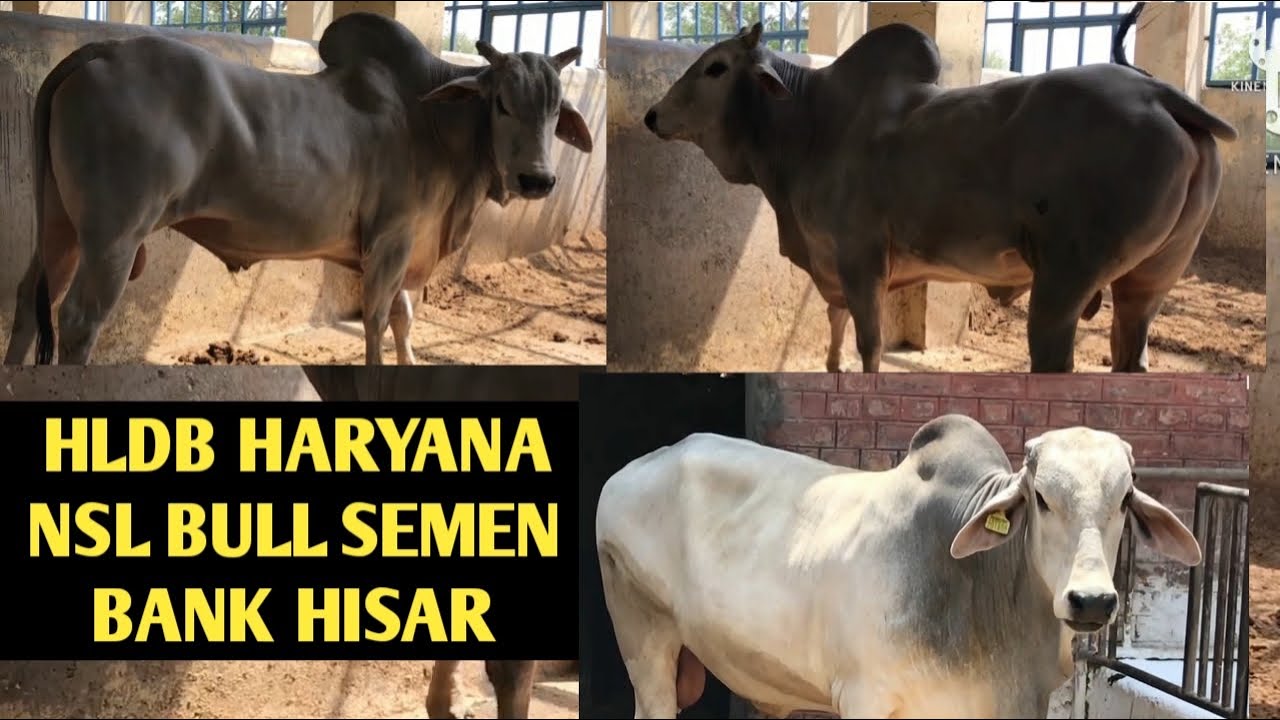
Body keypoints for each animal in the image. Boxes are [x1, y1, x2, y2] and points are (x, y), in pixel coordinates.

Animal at [3, 11, 593, 366]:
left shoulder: (411, 245)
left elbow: (404, 320)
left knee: (31, 302)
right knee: (78, 320)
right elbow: (378, 320)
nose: (538, 179)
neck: (432, 122)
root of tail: (97, 51)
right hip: (113, 238)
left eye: (555, 110)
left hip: (61, 227)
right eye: (501, 103)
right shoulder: (392, 240)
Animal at [595, 415, 1202, 718]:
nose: (1091, 600)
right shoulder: (865, 698)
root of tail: (631, 469)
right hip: (644, 640)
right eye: (1042, 499)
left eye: (1125, 499)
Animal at [642, 19, 1235, 373]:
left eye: (716, 66)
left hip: (1063, 284)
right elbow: (834, 333)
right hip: (1146, 285)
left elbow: (869, 345)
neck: (811, 126)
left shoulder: (860, 259)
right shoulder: (830, 263)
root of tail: (1159, 93)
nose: (652, 115)